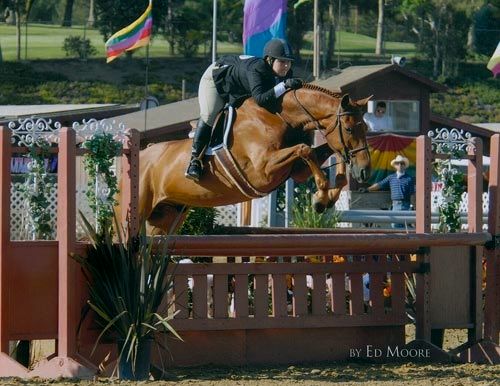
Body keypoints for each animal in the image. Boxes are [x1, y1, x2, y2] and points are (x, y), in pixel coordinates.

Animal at [129, 83, 372, 235]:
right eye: (349, 129)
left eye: (367, 128)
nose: (364, 171)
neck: (280, 116)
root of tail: (143, 152)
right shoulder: (262, 172)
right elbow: (305, 149)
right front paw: (321, 198)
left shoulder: (296, 171)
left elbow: (326, 151)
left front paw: (330, 195)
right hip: (140, 208)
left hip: (167, 215)